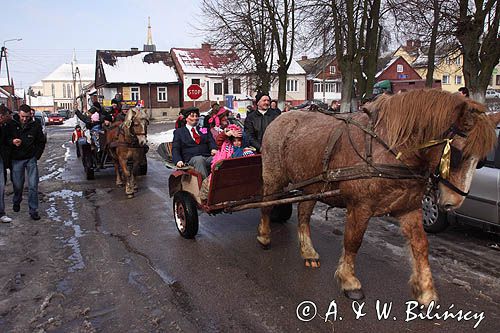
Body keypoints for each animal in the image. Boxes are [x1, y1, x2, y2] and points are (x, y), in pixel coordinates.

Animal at [258, 89, 500, 304]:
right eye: (458, 155)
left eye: (481, 161)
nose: (454, 202)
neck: (390, 150)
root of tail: (281, 117)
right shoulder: (360, 207)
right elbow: (353, 241)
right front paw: (349, 282)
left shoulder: (409, 207)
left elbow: (421, 245)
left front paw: (425, 291)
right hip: (274, 178)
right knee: (267, 205)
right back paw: (264, 236)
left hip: (311, 186)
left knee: (303, 215)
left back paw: (308, 252)